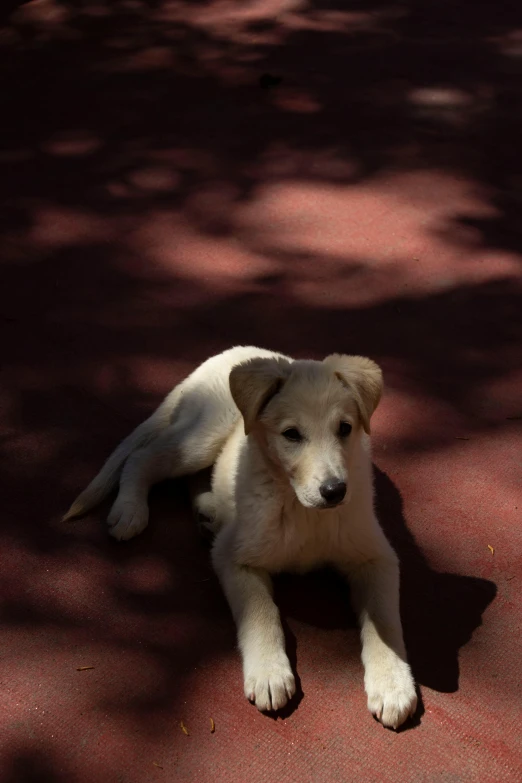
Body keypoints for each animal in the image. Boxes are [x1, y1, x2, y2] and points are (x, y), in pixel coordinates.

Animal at [64, 348, 414, 728]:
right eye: (291, 434)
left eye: (345, 429)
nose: (335, 491)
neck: (302, 508)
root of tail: (227, 354)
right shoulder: (233, 555)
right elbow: (261, 612)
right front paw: (269, 672)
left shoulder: (376, 557)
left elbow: (383, 620)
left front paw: (393, 683)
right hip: (202, 439)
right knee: (144, 458)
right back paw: (130, 509)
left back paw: (207, 511)